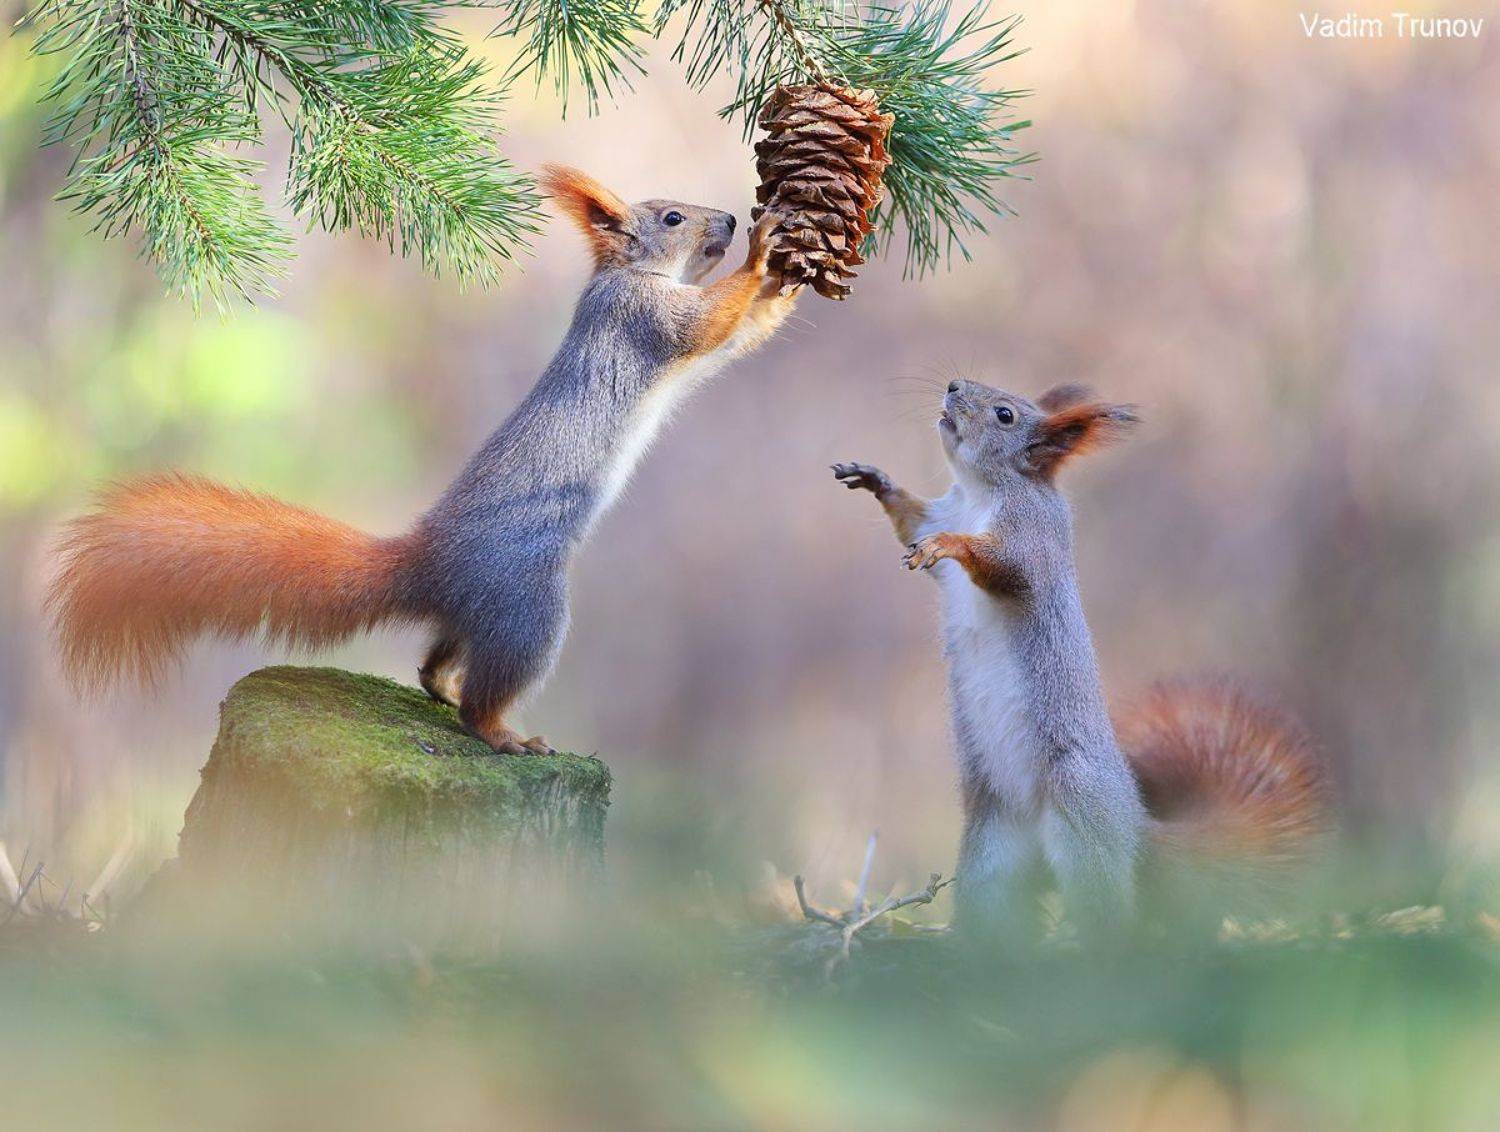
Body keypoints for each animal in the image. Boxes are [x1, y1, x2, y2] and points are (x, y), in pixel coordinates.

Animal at [48, 165, 798, 756]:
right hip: (528, 608)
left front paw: (786, 278)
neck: (630, 273)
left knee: (437, 661)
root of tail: (427, 564)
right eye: (672, 217)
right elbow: (705, 323)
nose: (731, 218)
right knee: (485, 699)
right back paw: (504, 734)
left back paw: (442, 686)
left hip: (477, 615)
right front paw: (765, 249)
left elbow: (744, 333)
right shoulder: (642, 315)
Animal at [833, 379, 1329, 933]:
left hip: (1081, 817)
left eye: (1004, 415)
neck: (982, 494)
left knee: (1107, 912)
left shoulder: (1032, 538)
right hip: (992, 855)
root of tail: (1135, 830)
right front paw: (876, 480)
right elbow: (910, 520)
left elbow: (1000, 563)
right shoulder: (939, 510)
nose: (954, 385)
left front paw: (950, 544)